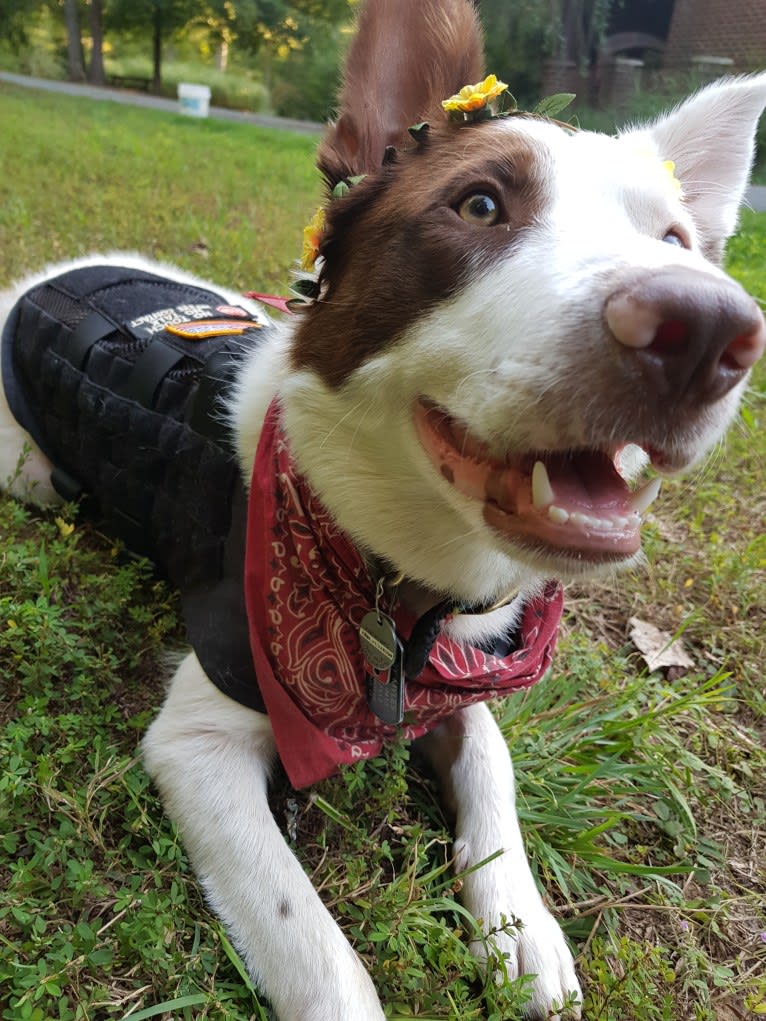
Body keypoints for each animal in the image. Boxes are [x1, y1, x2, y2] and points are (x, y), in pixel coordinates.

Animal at [1, 1, 766, 1021]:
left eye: (676, 240)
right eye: (479, 205)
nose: (711, 328)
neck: (398, 569)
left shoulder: (462, 672)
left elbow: (491, 764)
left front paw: (521, 928)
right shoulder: (197, 744)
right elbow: (320, 954)